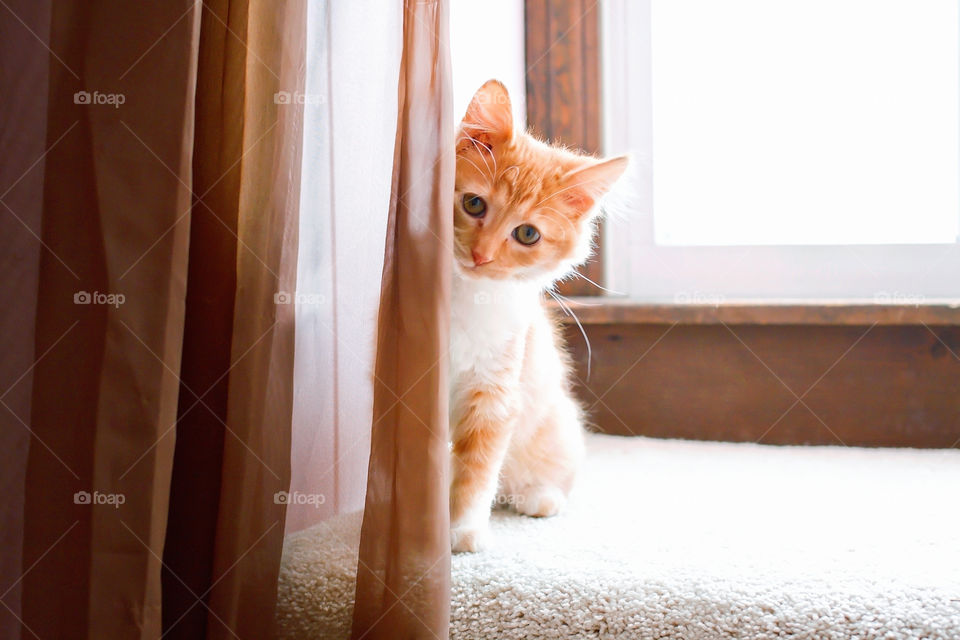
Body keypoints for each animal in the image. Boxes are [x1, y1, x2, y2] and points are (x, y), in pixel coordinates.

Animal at [450, 79, 632, 552]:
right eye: (473, 204)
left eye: (527, 234)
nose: (481, 255)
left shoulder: (495, 392)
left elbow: (476, 470)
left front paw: (462, 533)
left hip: (556, 424)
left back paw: (539, 498)